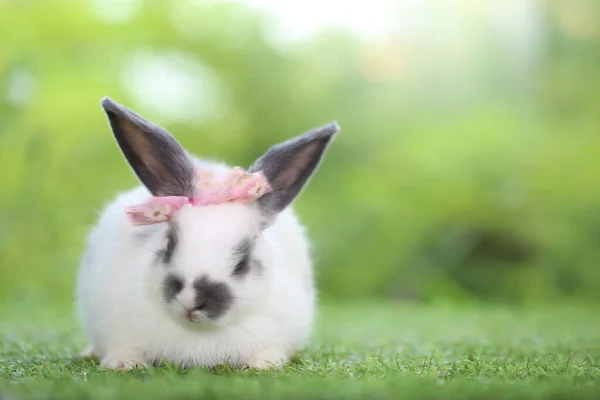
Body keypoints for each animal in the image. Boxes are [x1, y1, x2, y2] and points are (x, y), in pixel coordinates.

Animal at [75, 97, 340, 372]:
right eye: (168, 246)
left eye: (243, 260)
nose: (191, 299)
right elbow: (124, 347)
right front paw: (124, 364)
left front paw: (264, 364)